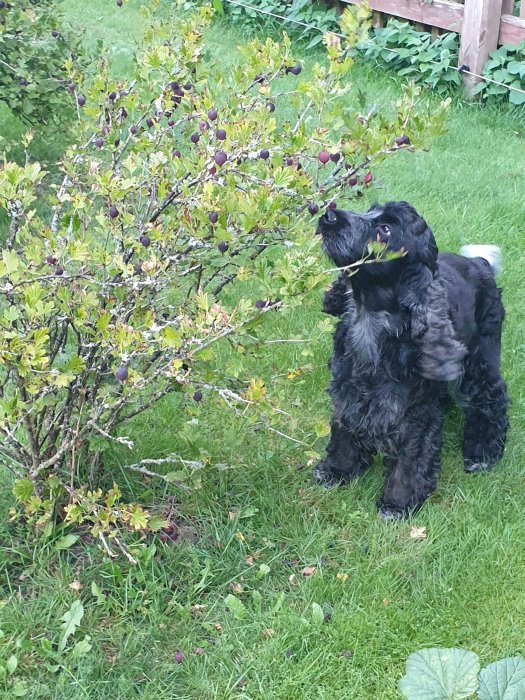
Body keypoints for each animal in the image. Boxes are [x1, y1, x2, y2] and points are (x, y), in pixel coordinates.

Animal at [314, 200, 506, 516]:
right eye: (370, 210)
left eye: (385, 229)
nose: (328, 214)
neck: (371, 320)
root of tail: (480, 263)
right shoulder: (348, 390)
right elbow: (344, 430)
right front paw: (336, 471)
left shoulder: (414, 411)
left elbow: (412, 454)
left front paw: (398, 502)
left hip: (482, 357)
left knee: (492, 399)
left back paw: (483, 453)